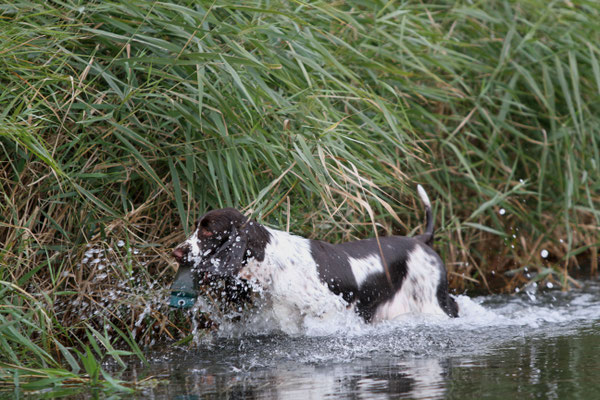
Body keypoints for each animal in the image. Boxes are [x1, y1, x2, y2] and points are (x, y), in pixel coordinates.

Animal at [173, 186, 460, 324]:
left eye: (208, 231)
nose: (176, 252)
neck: (273, 263)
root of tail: (420, 240)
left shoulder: (329, 310)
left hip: (433, 304)